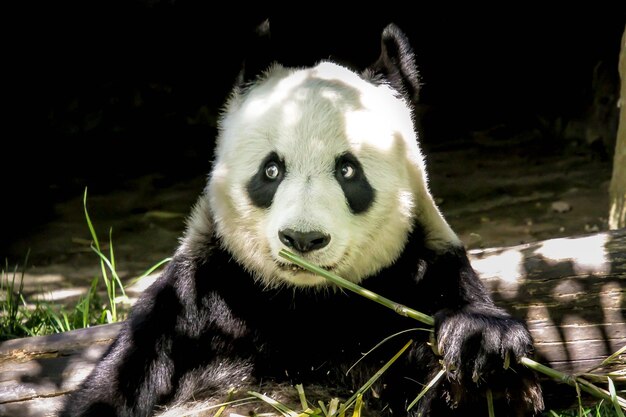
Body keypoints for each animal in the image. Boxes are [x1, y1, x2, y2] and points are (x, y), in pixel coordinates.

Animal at [58, 22, 540, 416]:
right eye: (271, 170)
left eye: (348, 170)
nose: (303, 239)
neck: (306, 301)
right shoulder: (197, 300)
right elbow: (116, 384)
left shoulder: (417, 273)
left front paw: (481, 346)